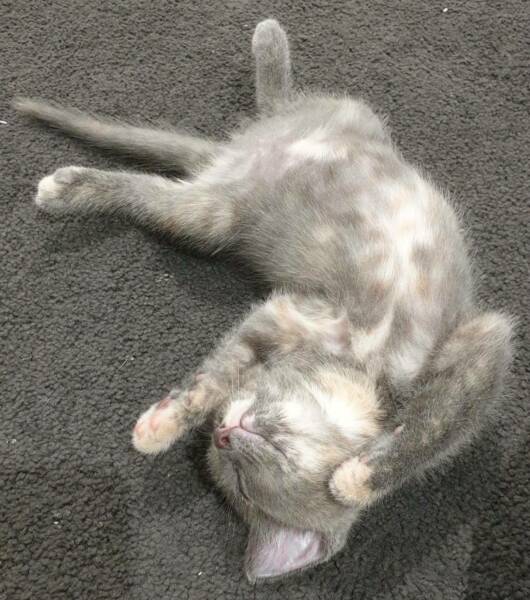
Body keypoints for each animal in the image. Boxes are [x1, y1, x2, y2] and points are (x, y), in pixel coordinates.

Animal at [15, 19, 513, 581]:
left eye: (244, 482)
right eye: (232, 457)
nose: (227, 432)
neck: (365, 363)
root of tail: (234, 153)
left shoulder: (306, 318)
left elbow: (432, 429)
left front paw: (357, 478)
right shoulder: (470, 335)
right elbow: (213, 380)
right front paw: (164, 425)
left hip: (209, 214)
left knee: (159, 189)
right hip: (334, 125)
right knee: (272, 103)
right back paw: (267, 41)